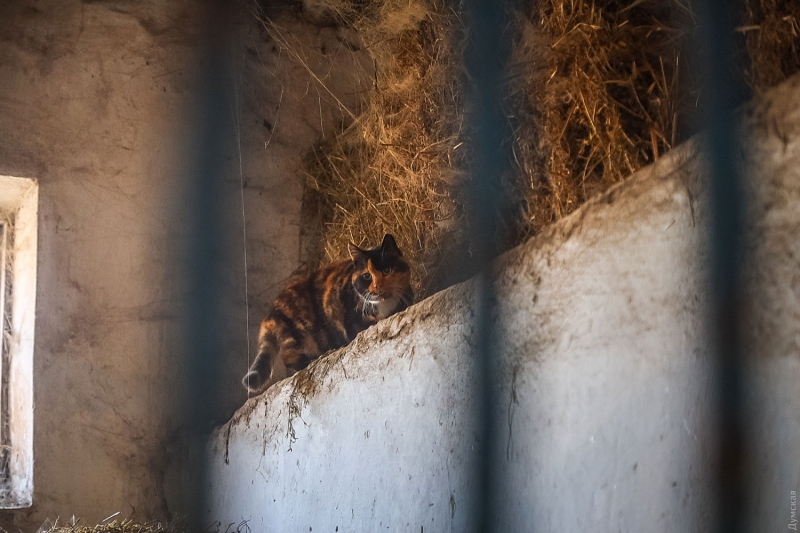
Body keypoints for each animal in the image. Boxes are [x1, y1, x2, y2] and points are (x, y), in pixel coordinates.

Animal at [244, 233, 412, 390]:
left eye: (387, 270)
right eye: (366, 276)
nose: (377, 286)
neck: (384, 305)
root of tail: (271, 312)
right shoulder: (349, 318)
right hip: (299, 335)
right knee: (289, 356)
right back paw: (310, 361)